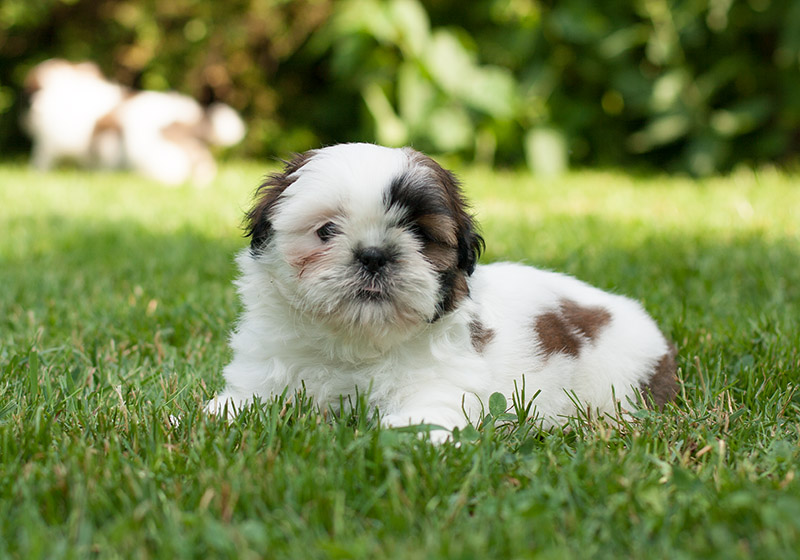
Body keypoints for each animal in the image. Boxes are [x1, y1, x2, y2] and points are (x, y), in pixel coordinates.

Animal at [207, 143, 677, 438]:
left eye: (419, 233)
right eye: (325, 231)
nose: (374, 255)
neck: (355, 343)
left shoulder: (444, 381)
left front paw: (399, 435)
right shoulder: (267, 365)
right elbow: (247, 400)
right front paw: (211, 417)